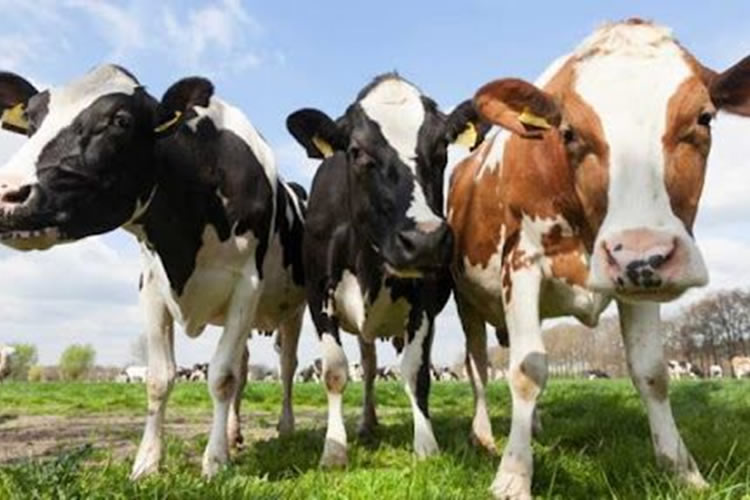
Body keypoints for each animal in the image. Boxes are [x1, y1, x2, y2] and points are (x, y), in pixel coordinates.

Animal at [0, 65, 307, 479]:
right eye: (31, 121)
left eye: (120, 120)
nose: (7, 194)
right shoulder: (152, 288)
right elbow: (160, 379)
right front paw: (146, 464)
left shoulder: (247, 285)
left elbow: (222, 377)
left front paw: (214, 463)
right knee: (245, 366)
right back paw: (233, 433)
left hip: (293, 309)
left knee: (286, 365)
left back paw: (285, 428)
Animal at [286, 72, 485, 467]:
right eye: (357, 151)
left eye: (441, 149)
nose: (424, 240)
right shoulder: (319, 295)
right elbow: (336, 372)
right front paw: (334, 449)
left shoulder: (424, 301)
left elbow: (416, 373)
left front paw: (426, 444)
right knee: (367, 364)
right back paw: (366, 423)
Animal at [447, 19, 750, 498]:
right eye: (569, 132)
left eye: (704, 118)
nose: (642, 253)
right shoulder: (522, 262)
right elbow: (526, 371)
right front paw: (513, 475)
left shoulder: (639, 282)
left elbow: (651, 372)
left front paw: (682, 470)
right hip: (468, 301)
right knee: (477, 365)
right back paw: (484, 437)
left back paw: (533, 426)